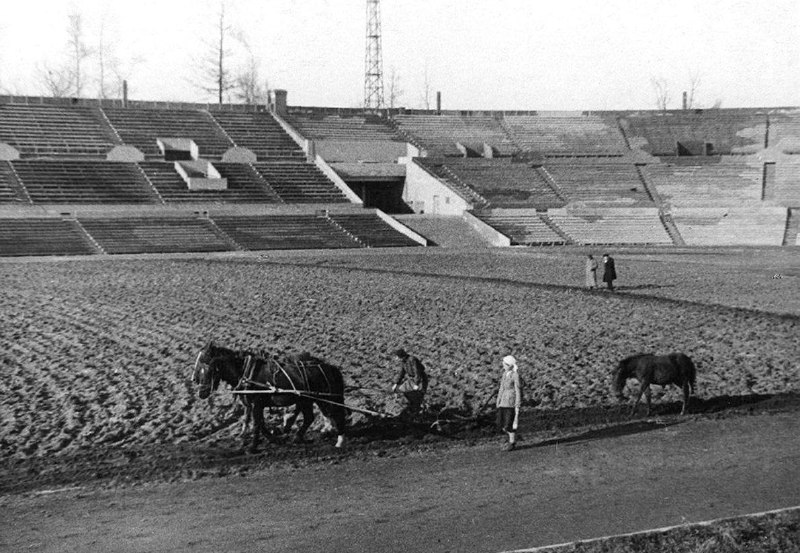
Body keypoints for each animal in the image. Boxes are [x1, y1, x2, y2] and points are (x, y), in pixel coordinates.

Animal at [194, 340, 346, 448]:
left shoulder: (256, 404)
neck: (246, 373)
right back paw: (298, 436)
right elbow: (259, 423)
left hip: (318, 398)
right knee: (312, 417)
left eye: (206, 368)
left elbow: (257, 423)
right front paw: (273, 438)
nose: (201, 392)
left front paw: (253, 447)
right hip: (308, 400)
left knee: (332, 414)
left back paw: (339, 439)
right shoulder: (255, 405)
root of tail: (329, 367)